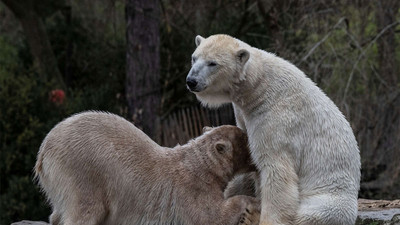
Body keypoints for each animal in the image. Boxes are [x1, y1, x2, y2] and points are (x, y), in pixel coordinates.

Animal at [33, 111, 260, 225]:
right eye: (247, 141)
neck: (201, 166)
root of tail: (44, 151)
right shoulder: (192, 191)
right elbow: (211, 216)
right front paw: (253, 202)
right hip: (81, 169)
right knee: (86, 209)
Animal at [186, 33, 360, 225]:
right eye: (194, 58)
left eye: (212, 63)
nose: (191, 81)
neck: (259, 88)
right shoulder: (243, 115)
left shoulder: (276, 119)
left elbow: (275, 170)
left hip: (330, 198)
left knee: (310, 215)